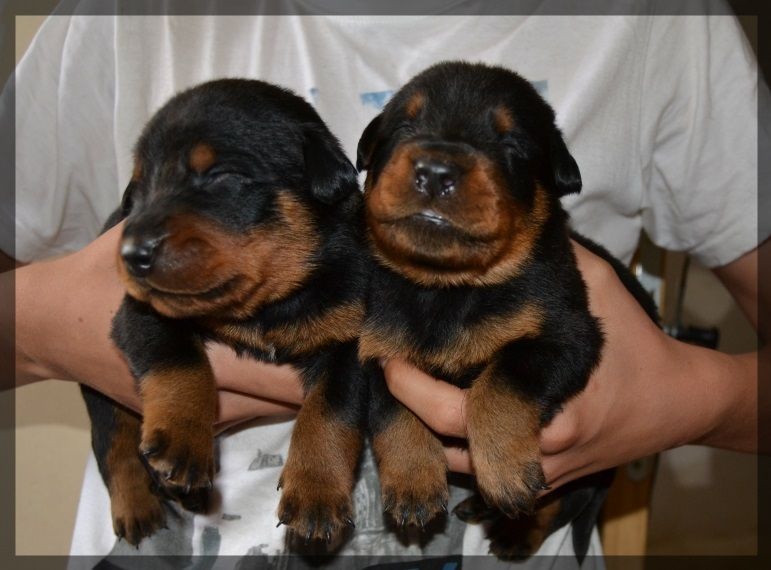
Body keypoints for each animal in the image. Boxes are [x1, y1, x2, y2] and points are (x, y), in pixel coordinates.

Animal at [79, 77, 370, 544]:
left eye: (222, 177)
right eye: (139, 191)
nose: (130, 253)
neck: (265, 306)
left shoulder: (350, 339)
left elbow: (330, 411)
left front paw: (317, 490)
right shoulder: (139, 315)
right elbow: (181, 364)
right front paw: (182, 440)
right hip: (100, 389)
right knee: (115, 443)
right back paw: (138, 506)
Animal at [356, 60, 656, 556]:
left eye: (510, 144)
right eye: (404, 127)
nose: (435, 172)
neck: (447, 288)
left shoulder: (568, 334)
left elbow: (499, 382)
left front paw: (506, 475)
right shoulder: (373, 349)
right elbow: (392, 408)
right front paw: (414, 480)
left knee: (567, 501)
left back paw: (516, 531)